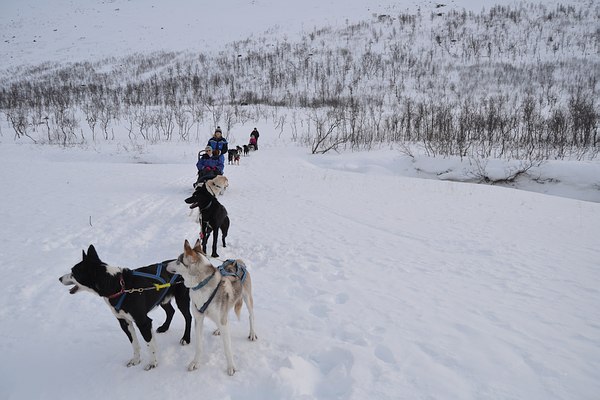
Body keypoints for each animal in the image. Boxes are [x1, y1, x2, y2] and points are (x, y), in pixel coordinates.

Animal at [57, 245, 191, 370]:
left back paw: (186, 338)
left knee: (188, 317)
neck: (118, 286)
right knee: (171, 311)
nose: (59, 278)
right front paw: (136, 360)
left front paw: (153, 363)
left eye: (73, 272)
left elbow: (149, 344)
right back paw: (164, 327)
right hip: (163, 299)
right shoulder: (124, 321)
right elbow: (134, 344)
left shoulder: (143, 322)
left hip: (182, 299)